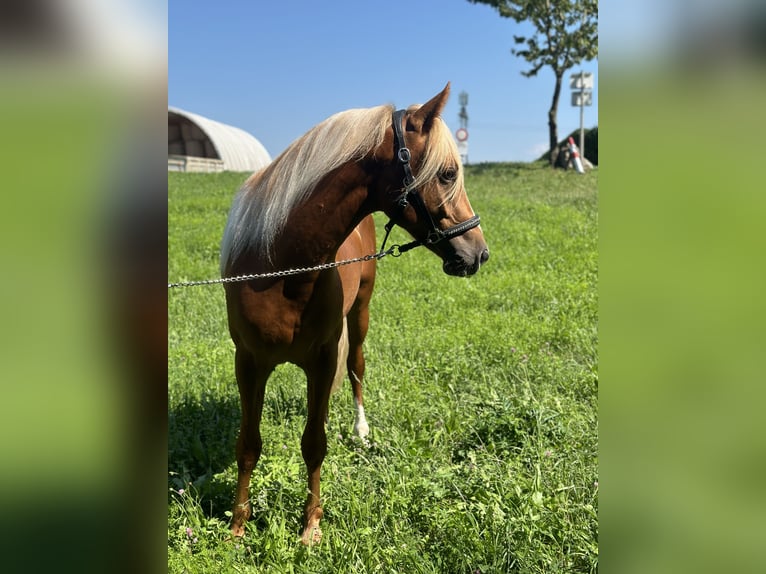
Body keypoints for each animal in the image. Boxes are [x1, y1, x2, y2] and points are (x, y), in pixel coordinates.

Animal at [219, 83, 488, 548]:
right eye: (448, 174)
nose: (478, 253)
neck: (281, 269)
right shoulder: (249, 364)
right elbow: (248, 444)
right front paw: (238, 526)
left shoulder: (323, 360)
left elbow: (314, 442)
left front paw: (310, 527)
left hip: (360, 316)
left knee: (358, 367)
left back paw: (362, 432)